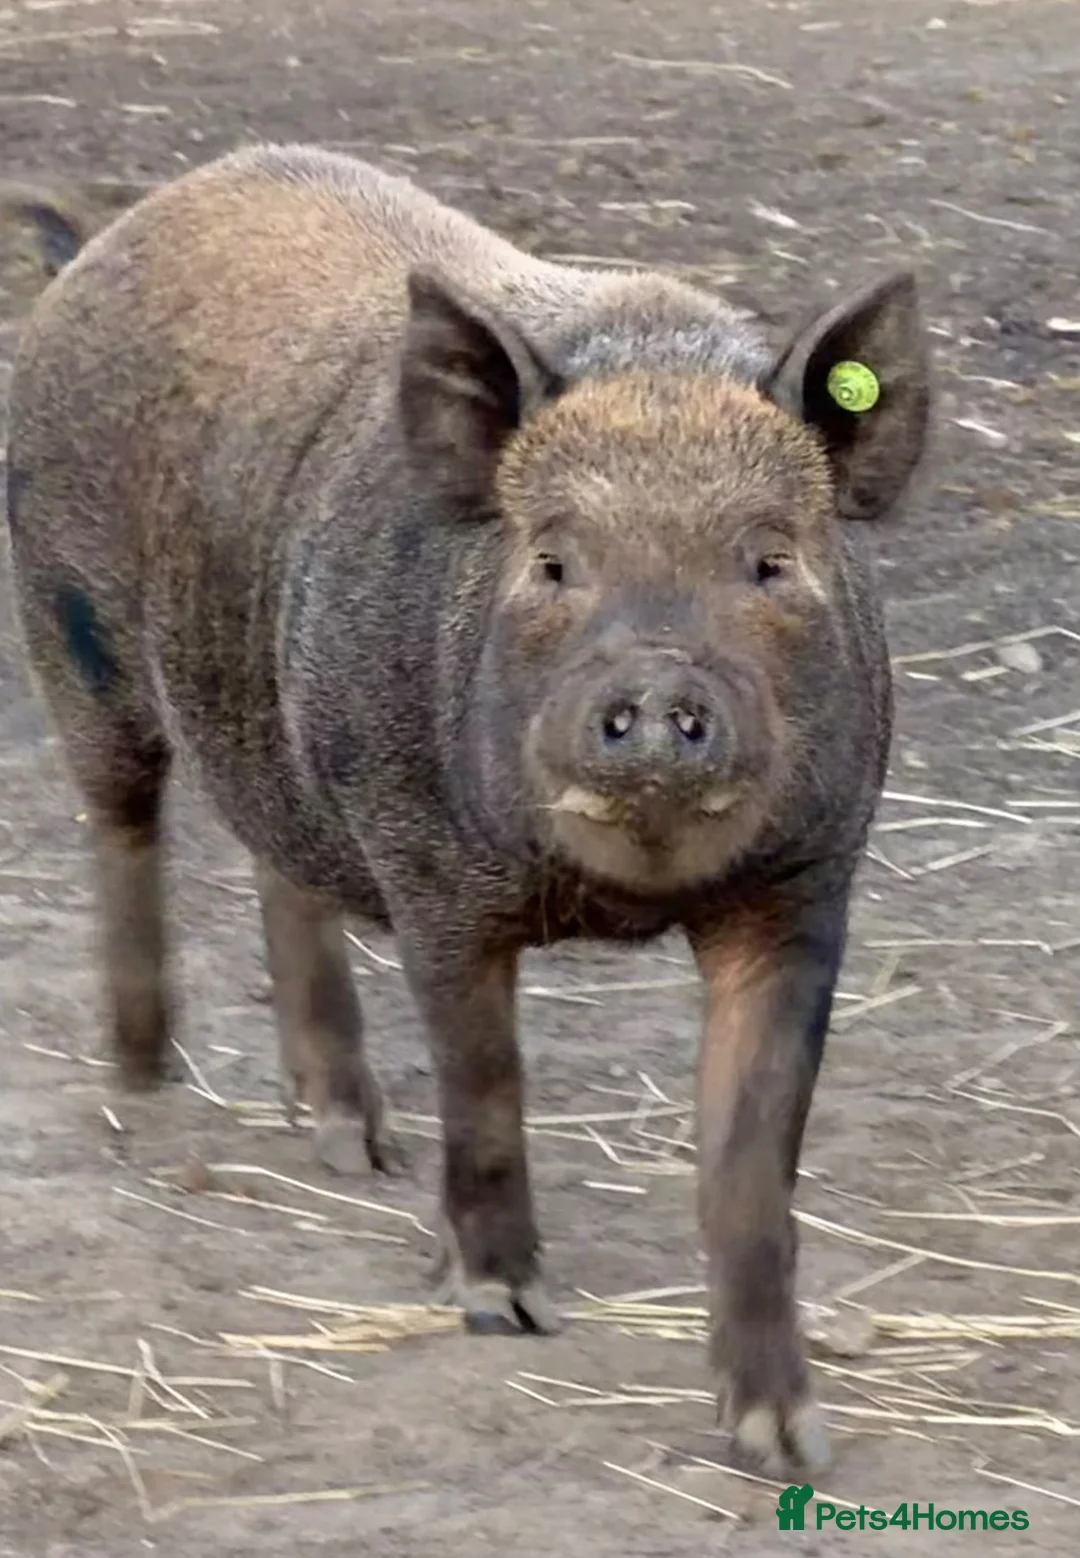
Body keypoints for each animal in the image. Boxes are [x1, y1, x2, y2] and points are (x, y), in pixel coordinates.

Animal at [4, 143, 930, 1477]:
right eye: (551, 561)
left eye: (769, 560)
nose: (659, 684)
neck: (613, 899)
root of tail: (104, 240)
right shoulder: (429, 869)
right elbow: (485, 1081)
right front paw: (502, 1307)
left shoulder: (806, 886)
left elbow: (753, 1164)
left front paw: (786, 1444)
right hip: (70, 621)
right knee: (122, 817)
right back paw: (143, 1079)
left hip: (268, 709)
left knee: (280, 863)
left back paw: (349, 1141)